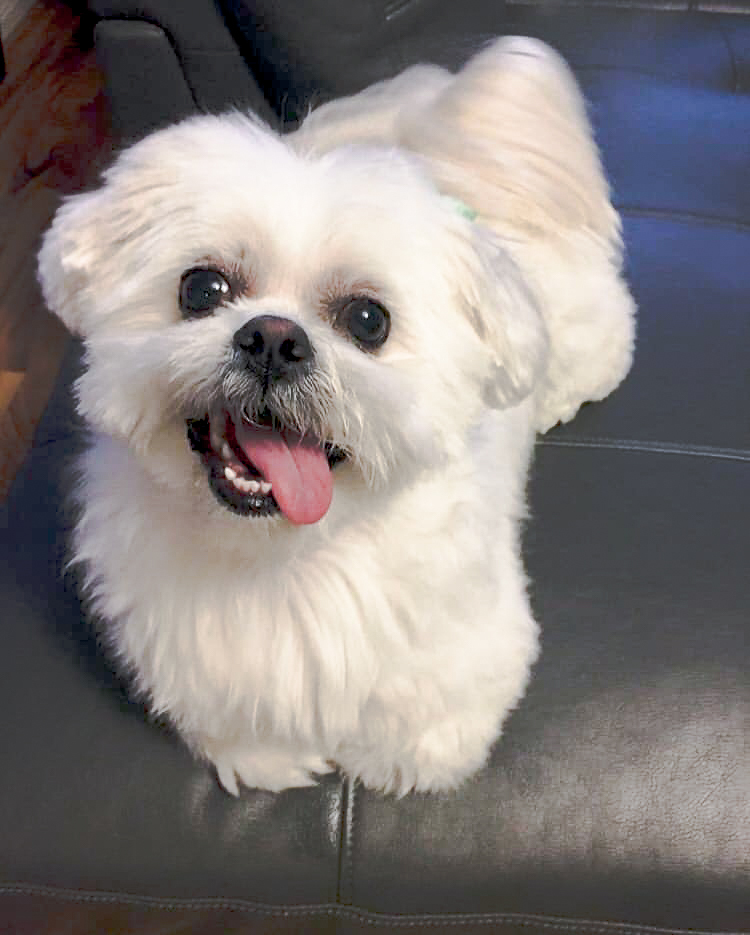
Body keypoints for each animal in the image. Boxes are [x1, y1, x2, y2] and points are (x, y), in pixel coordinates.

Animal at [38, 38, 635, 796]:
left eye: (368, 320)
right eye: (201, 288)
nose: (271, 339)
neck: (284, 559)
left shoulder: (468, 650)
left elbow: (427, 721)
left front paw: (395, 762)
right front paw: (274, 757)